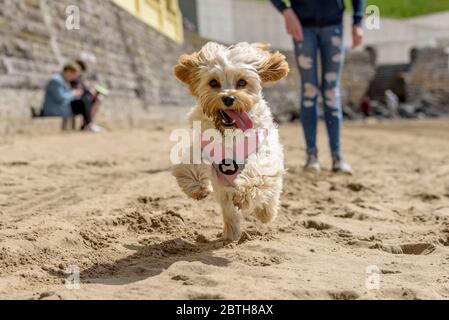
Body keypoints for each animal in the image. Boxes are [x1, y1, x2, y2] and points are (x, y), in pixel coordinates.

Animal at [172, 43, 288, 242]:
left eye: (242, 82)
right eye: (213, 82)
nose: (228, 98)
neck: (230, 132)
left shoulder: (264, 151)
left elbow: (260, 172)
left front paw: (244, 194)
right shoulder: (204, 145)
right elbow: (190, 163)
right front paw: (197, 186)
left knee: (271, 193)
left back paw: (265, 212)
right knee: (229, 211)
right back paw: (230, 234)